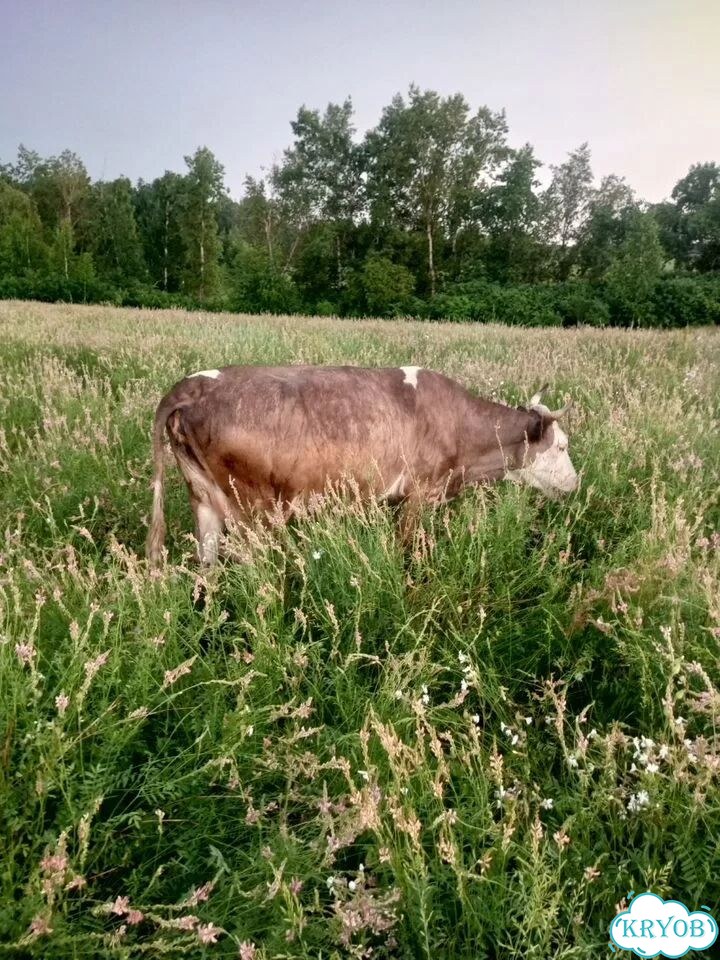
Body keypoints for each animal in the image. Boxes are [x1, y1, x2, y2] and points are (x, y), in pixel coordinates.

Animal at [146, 364, 578, 566]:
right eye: (562, 446)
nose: (575, 483)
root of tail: (193, 386)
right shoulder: (419, 494)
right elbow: (407, 551)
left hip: (204, 499)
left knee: (207, 568)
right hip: (254, 512)